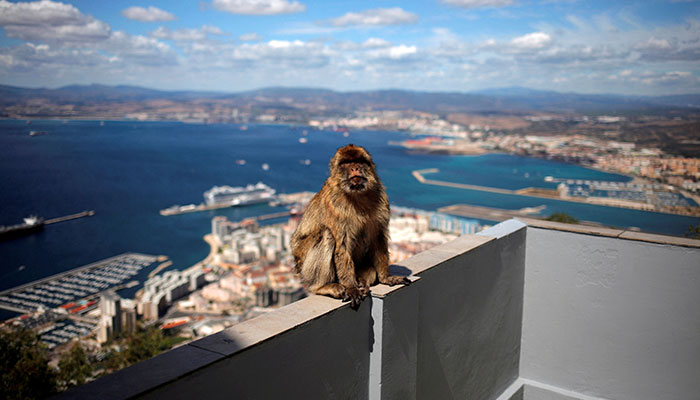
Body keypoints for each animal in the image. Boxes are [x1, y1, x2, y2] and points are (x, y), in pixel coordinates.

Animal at [291, 144, 411, 308]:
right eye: (346, 163)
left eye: (359, 161)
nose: (355, 168)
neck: (357, 195)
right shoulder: (335, 207)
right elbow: (342, 246)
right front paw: (351, 288)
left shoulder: (381, 198)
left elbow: (378, 238)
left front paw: (386, 277)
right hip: (304, 267)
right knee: (327, 234)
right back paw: (323, 287)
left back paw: (361, 280)